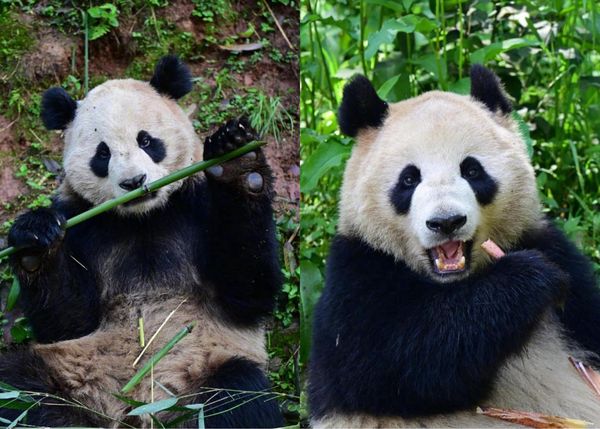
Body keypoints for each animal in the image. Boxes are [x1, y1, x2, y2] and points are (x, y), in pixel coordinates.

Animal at [0, 55, 284, 426]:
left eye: (147, 141)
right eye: (102, 154)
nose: (134, 181)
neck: (143, 219)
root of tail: (135, 408)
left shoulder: (196, 204)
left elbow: (247, 291)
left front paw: (238, 163)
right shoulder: (83, 223)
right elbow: (68, 321)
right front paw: (34, 242)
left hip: (204, 366)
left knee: (237, 395)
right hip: (69, 369)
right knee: (18, 390)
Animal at [310, 65, 600, 426]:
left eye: (472, 170)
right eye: (409, 179)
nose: (446, 222)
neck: (455, 284)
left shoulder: (548, 248)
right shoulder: (358, 273)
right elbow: (397, 362)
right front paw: (531, 277)